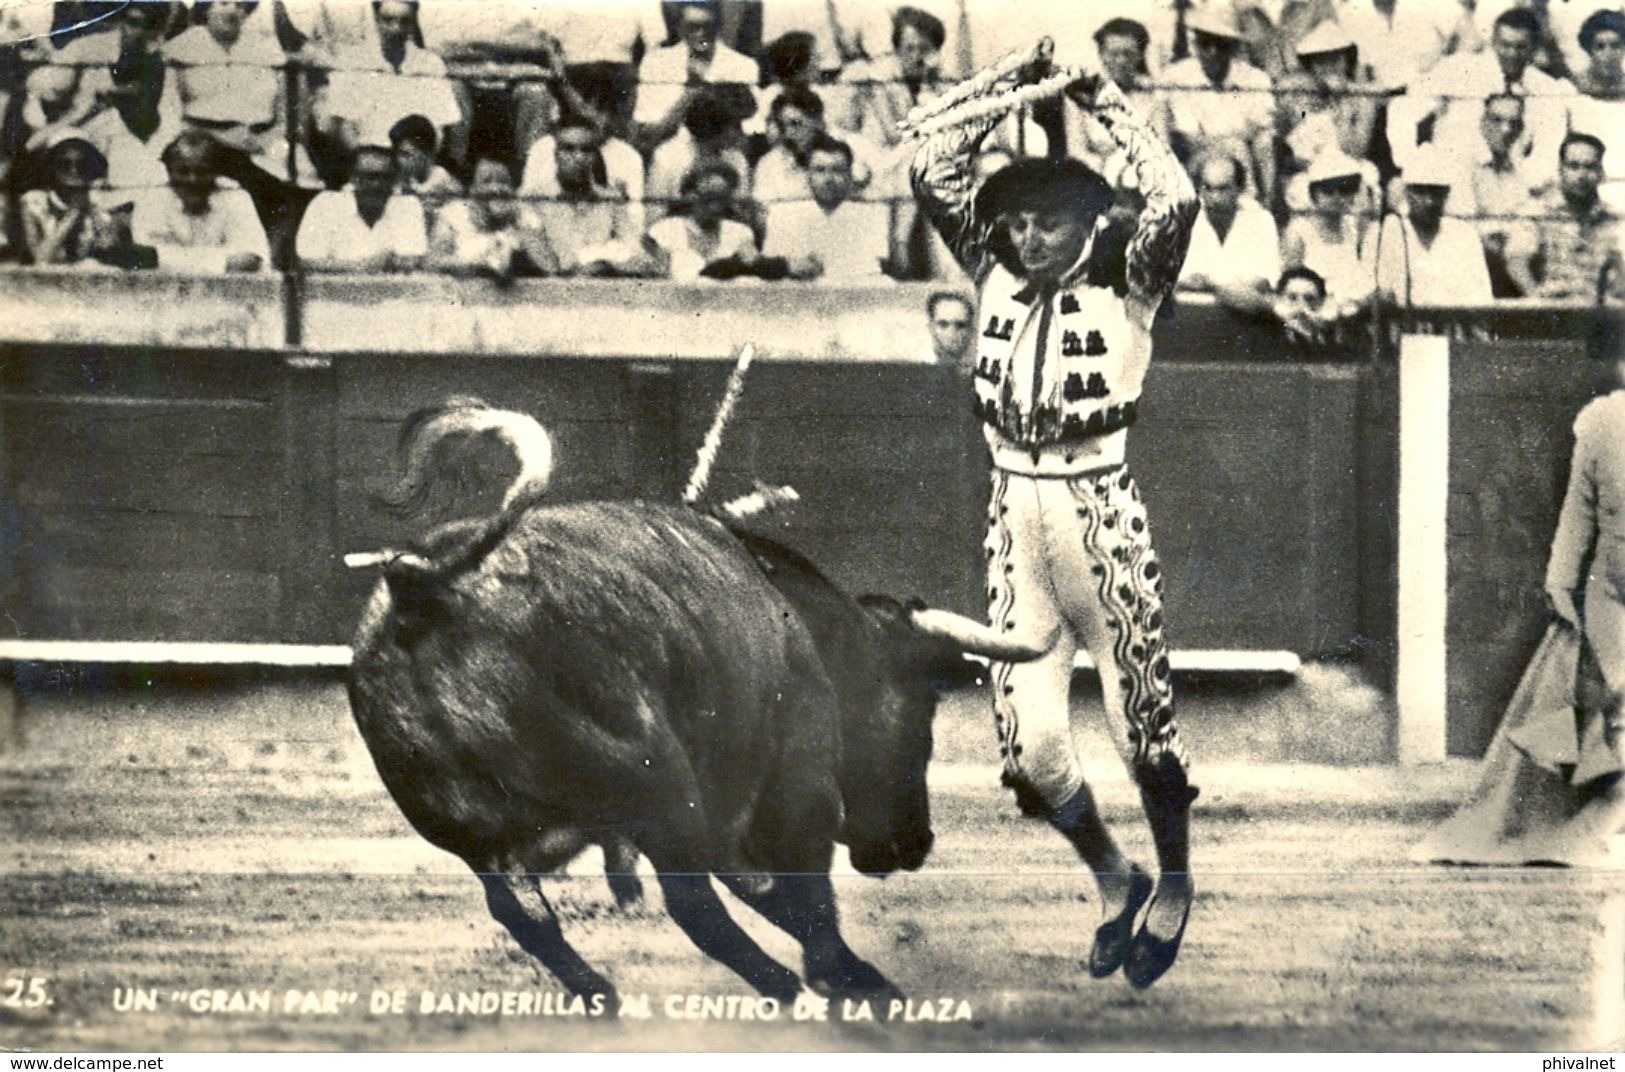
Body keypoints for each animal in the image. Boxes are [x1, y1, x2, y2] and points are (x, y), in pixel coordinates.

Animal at [347, 397, 1033, 1007]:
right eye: (922, 719)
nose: (911, 846)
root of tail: (423, 589)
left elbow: (768, 893)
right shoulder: (797, 782)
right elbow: (797, 891)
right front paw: (842, 978)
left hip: (475, 831)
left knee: (525, 915)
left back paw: (605, 995)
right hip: (662, 791)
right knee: (693, 905)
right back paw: (787, 987)